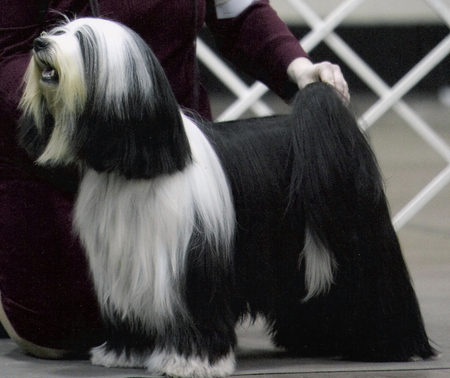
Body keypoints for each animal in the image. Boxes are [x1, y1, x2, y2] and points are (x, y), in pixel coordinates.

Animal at [18, 17, 436, 376]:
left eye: (83, 41)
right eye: (61, 29)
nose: (40, 43)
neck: (136, 166)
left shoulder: (190, 257)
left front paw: (190, 362)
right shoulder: (126, 264)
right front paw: (125, 352)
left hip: (359, 239)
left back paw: (390, 345)